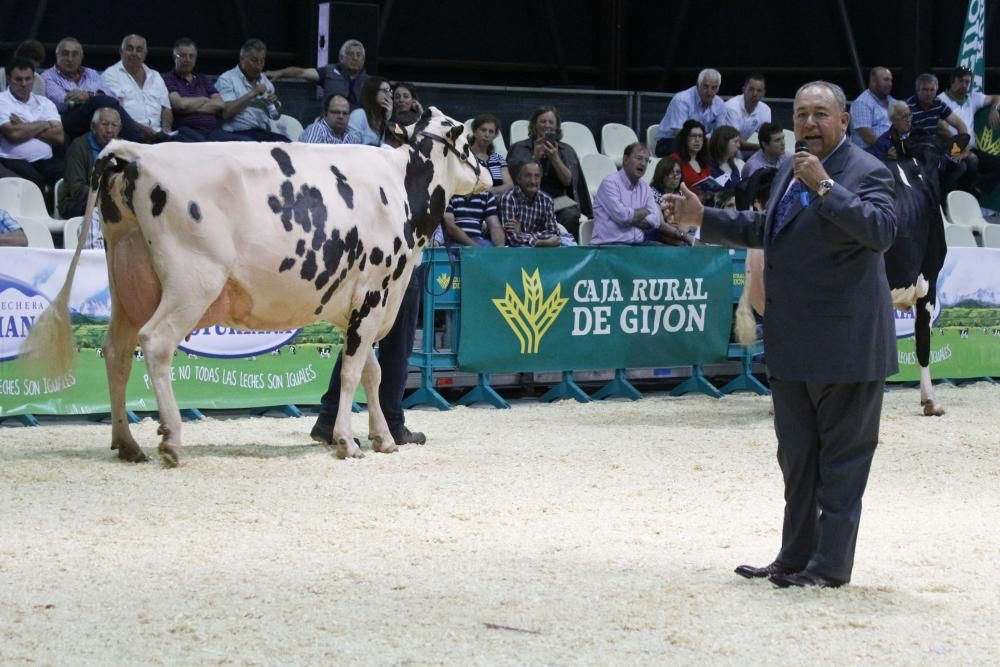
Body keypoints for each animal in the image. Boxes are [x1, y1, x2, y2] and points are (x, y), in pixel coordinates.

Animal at [24, 107, 492, 468]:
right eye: (469, 142)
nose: (489, 173)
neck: (401, 188)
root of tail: (136, 152)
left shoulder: (360, 306)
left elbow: (369, 373)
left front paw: (383, 439)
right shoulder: (374, 294)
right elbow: (354, 372)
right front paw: (347, 441)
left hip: (127, 283)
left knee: (117, 352)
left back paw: (127, 444)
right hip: (192, 281)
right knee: (155, 343)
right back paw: (171, 440)